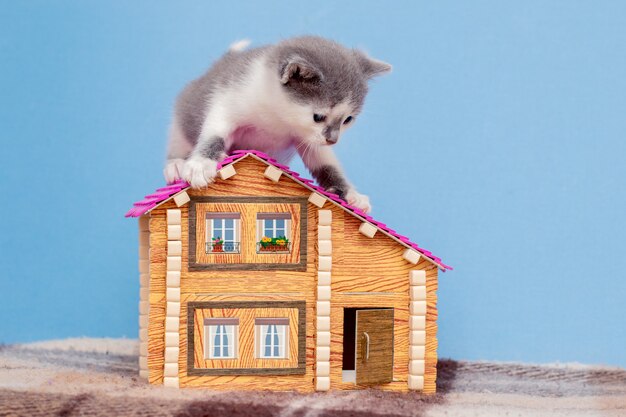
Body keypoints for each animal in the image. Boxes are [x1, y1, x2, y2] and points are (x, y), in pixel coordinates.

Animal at [166, 35, 390, 213]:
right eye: (318, 117)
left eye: (348, 120)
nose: (332, 140)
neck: (277, 117)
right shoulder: (228, 98)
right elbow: (215, 132)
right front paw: (202, 164)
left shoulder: (308, 138)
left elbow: (325, 164)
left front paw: (351, 194)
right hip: (180, 122)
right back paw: (175, 165)